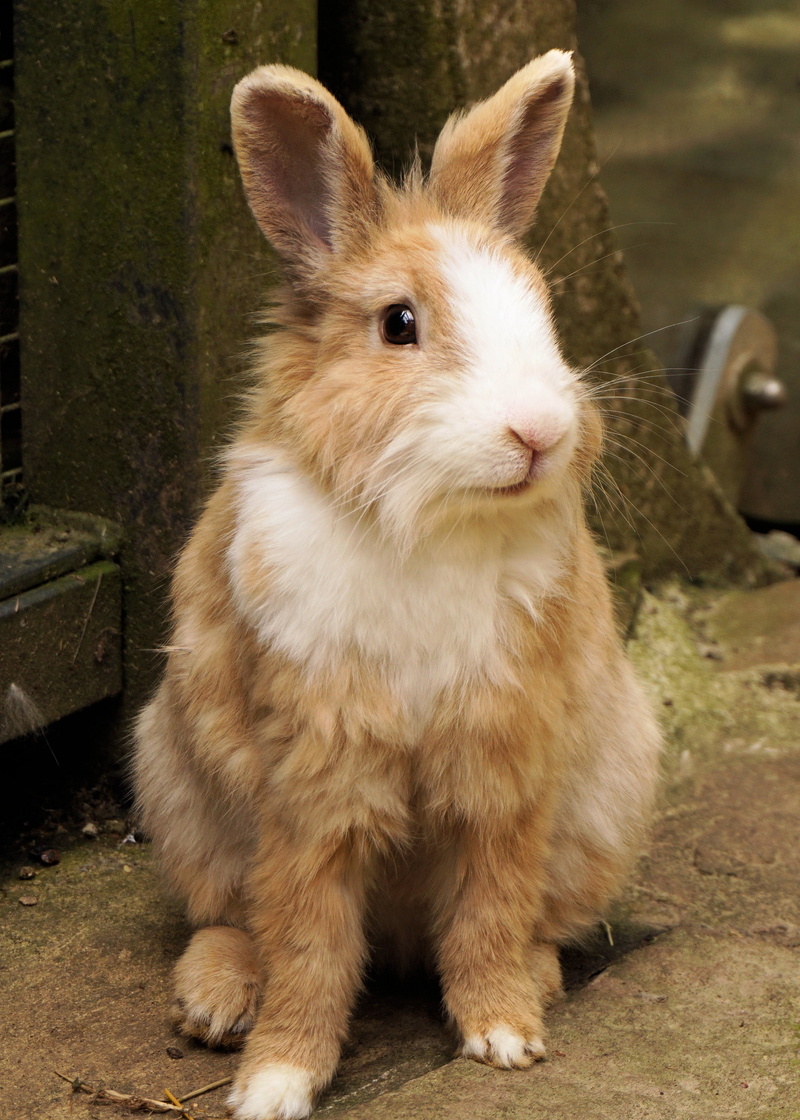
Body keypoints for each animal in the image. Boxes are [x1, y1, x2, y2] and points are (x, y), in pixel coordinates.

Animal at [132, 49, 661, 1120]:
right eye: (400, 324)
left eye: (542, 311)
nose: (540, 431)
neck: (432, 520)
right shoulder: (314, 767)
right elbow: (308, 938)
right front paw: (276, 1082)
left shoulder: (504, 757)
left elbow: (492, 904)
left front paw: (504, 1036)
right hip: (176, 786)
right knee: (231, 917)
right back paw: (216, 1002)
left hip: (609, 798)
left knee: (528, 919)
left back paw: (535, 980)